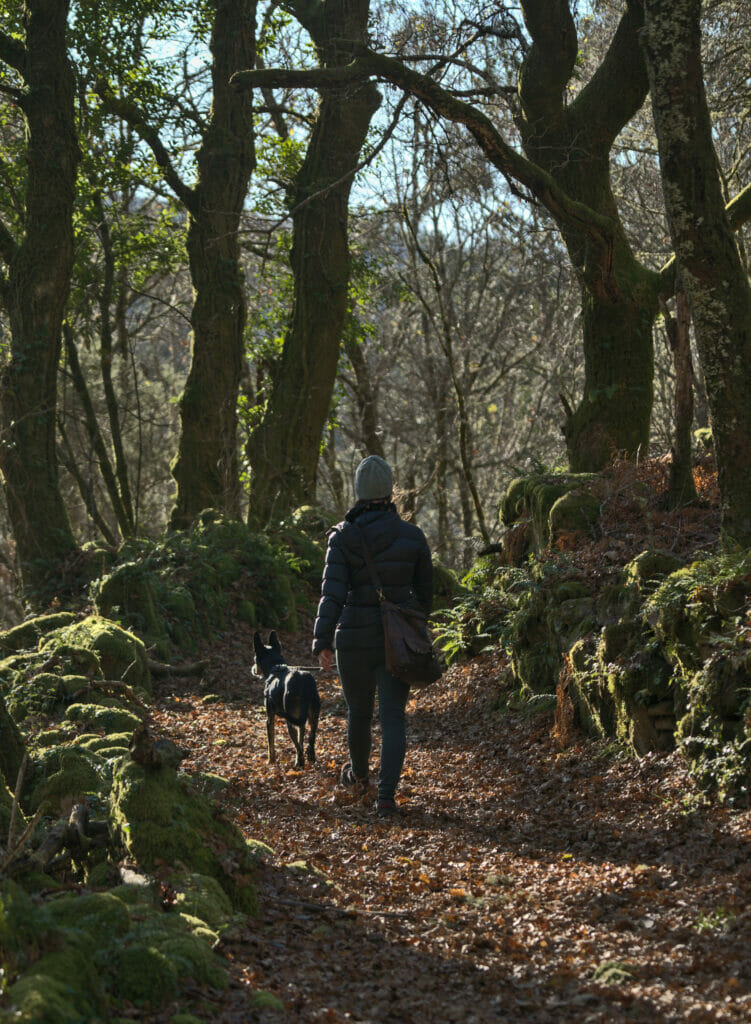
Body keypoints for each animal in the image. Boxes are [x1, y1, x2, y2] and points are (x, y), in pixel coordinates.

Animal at [253, 630, 321, 770]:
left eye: (254, 658)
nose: (253, 670)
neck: (276, 666)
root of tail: (304, 685)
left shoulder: (269, 718)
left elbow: (271, 743)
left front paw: (271, 762)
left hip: (290, 719)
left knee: (298, 746)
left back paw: (299, 763)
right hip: (312, 715)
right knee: (310, 737)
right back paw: (310, 757)